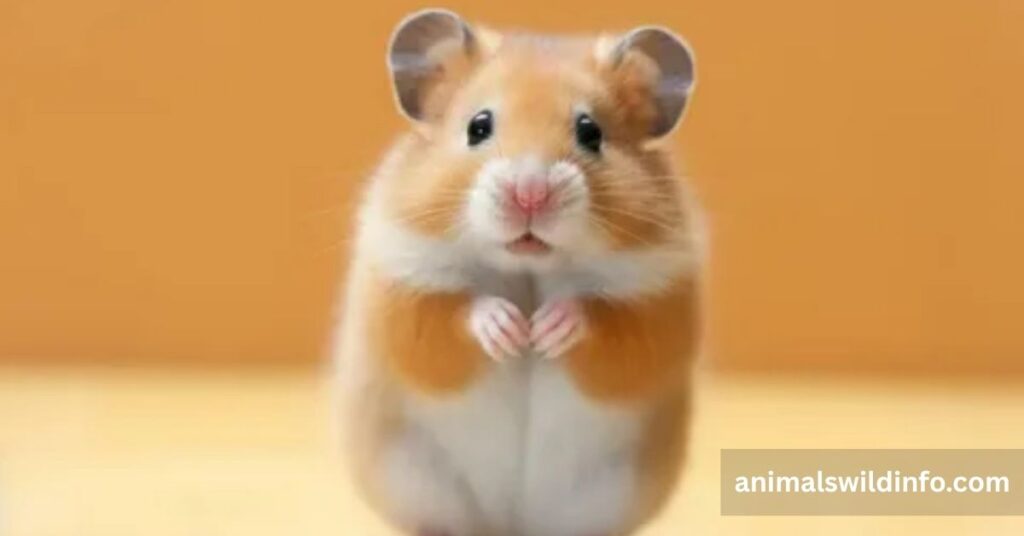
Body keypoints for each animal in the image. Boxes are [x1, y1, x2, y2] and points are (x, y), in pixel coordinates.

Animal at [335, 9, 702, 536]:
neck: (528, 267)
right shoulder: (400, 289)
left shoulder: (660, 307)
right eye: (478, 126)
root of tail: (512, 524)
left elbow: (612, 332)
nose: (530, 192)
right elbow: (450, 318)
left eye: (591, 132)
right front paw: (510, 329)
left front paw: (546, 329)